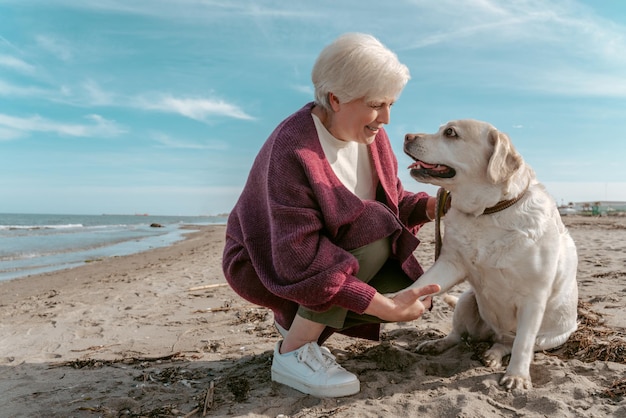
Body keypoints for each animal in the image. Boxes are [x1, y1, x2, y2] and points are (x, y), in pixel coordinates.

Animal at [402, 120, 576, 392]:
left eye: (450, 132)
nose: (407, 136)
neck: (488, 212)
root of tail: (493, 334)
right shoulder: (450, 263)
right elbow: (420, 285)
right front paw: (392, 302)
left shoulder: (534, 297)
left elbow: (523, 344)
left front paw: (517, 376)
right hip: (466, 300)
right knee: (457, 335)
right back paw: (438, 344)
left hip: (549, 337)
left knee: (510, 343)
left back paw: (494, 355)